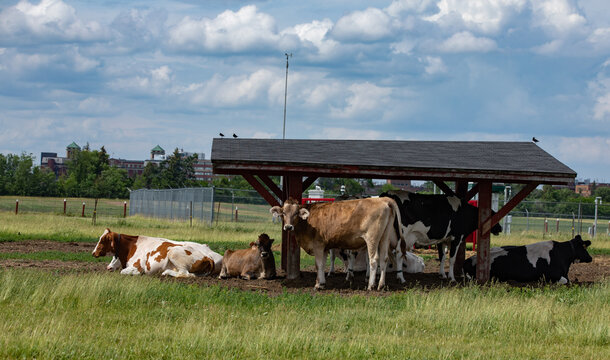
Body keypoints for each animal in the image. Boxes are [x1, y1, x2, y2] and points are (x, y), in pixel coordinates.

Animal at [92, 228, 221, 278]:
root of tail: (206, 256)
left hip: (173, 252)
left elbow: (124, 272)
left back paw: (166, 272)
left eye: (102, 240)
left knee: (185, 273)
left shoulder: (138, 267)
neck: (132, 246)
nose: (93, 253)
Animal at [268, 197, 402, 290]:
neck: (307, 222)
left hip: (372, 238)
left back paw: (371, 286)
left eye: (296, 213)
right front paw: (322, 283)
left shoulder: (318, 245)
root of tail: (383, 200)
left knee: (374, 260)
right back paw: (381, 285)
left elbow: (318, 265)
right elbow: (323, 264)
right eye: (283, 213)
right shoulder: (325, 247)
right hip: (384, 238)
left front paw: (317, 285)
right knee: (384, 259)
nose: (288, 227)